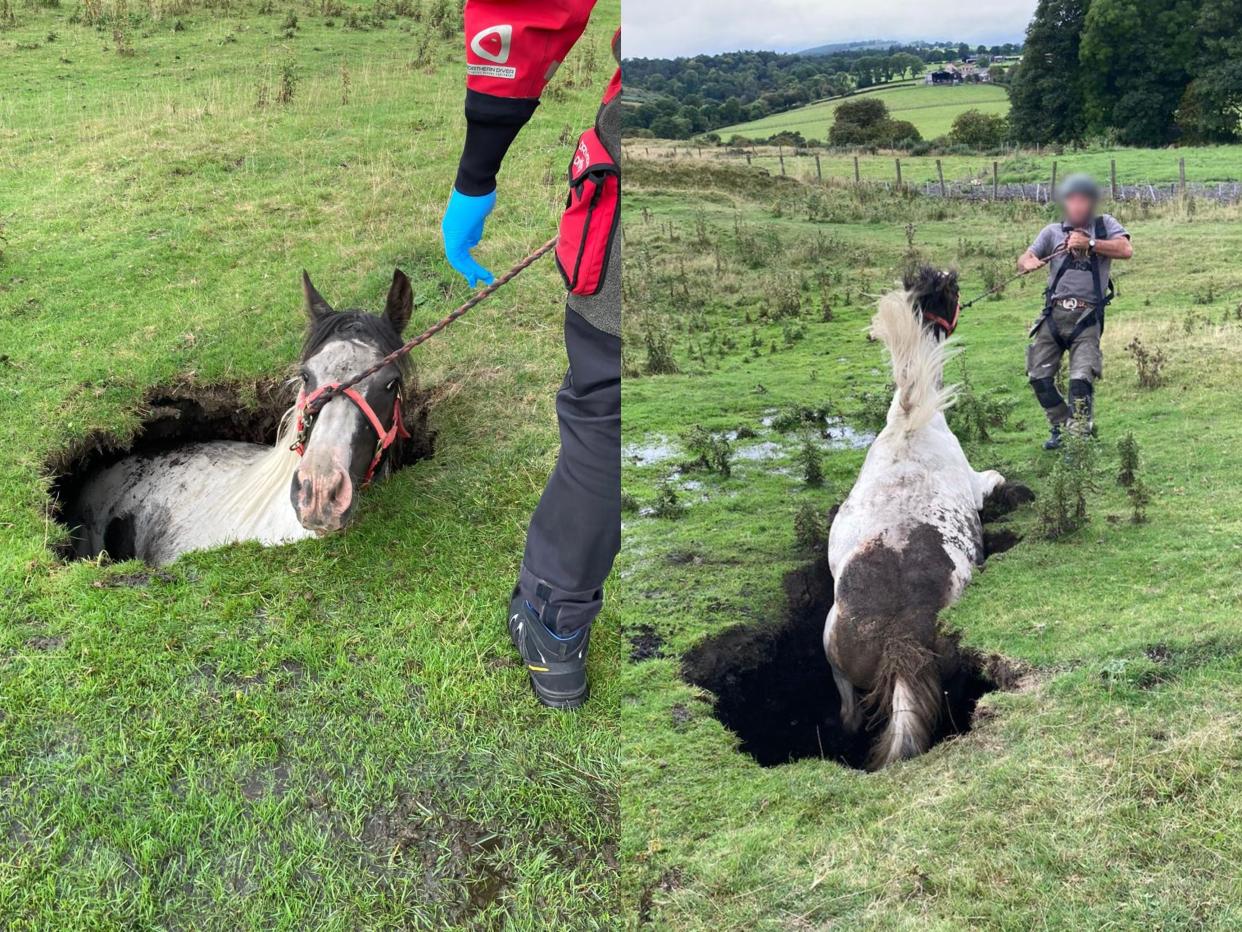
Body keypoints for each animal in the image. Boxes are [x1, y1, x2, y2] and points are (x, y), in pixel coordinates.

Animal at [824, 269, 1008, 775]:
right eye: (951, 290)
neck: (912, 420)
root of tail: (899, 640)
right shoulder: (977, 483)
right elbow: (995, 479)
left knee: (850, 715)